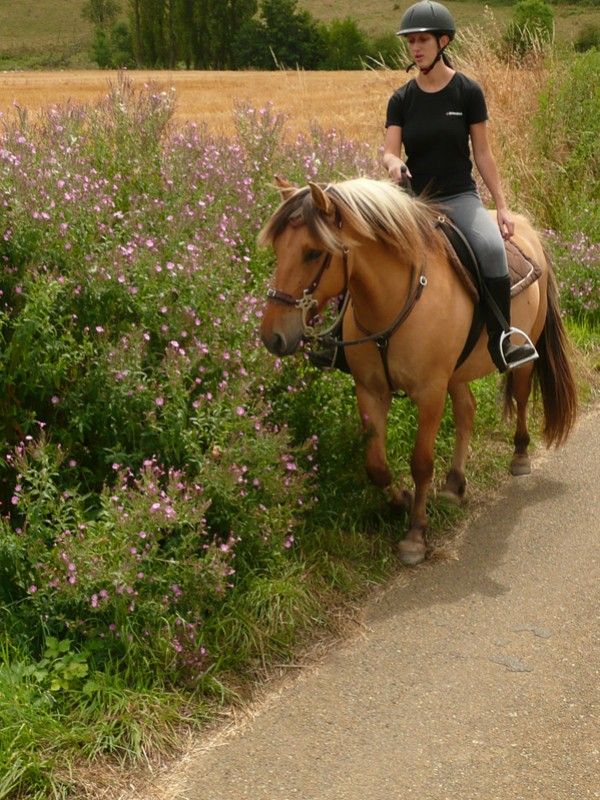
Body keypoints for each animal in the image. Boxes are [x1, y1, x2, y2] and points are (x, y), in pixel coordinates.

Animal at [259, 176, 578, 565]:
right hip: (456, 373)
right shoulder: (370, 390)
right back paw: (454, 483)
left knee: (519, 398)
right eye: (278, 249)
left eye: (312, 253)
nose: (272, 337)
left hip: (520, 358)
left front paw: (415, 535)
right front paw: (402, 501)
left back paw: (519, 456)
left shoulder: (429, 393)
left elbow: (421, 462)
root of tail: (525, 226)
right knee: (467, 410)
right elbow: (376, 465)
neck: (393, 300)